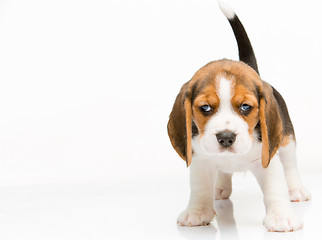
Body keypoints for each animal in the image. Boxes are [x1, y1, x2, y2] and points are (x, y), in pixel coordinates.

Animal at [167, 1, 310, 231]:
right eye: (205, 107)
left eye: (245, 107)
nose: (226, 137)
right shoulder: (200, 159)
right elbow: (200, 187)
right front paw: (197, 212)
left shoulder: (266, 159)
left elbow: (275, 187)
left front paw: (281, 217)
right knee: (223, 173)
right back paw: (219, 188)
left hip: (287, 138)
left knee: (290, 164)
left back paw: (296, 190)